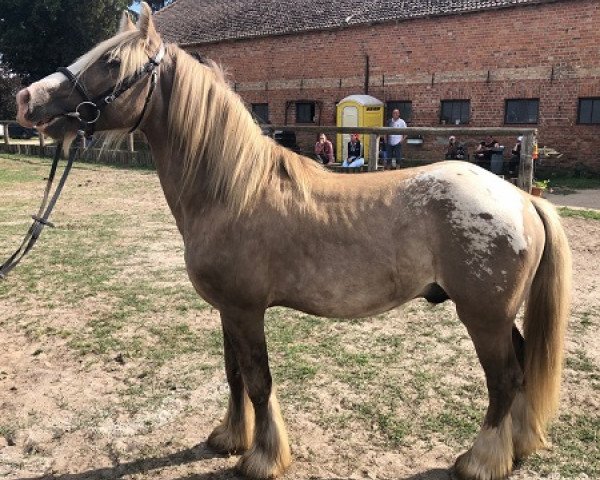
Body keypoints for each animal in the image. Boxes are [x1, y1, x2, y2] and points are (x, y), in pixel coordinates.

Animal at [12, 4, 568, 480]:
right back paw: (517, 447)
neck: (231, 190)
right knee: (521, 369)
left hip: (482, 316)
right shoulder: (227, 310)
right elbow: (235, 374)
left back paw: (480, 461)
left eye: (109, 61)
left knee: (504, 380)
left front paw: (262, 457)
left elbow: (259, 380)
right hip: (497, 315)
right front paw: (230, 437)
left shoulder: (245, 309)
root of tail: (521, 198)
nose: (26, 99)